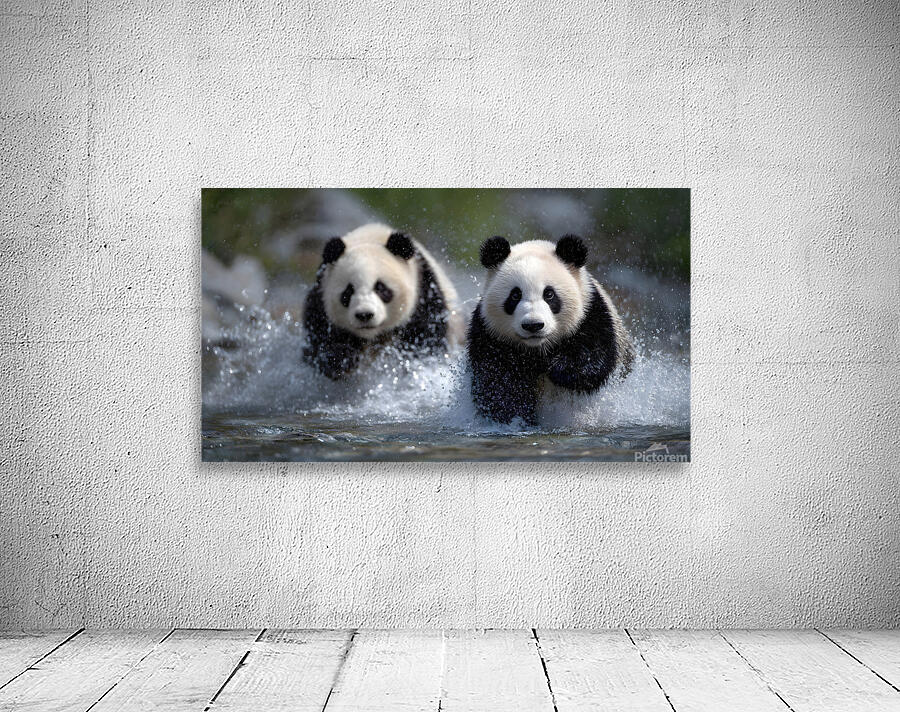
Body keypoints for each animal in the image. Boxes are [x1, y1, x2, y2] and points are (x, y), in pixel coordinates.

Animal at [303, 223, 464, 380]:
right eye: (348, 292)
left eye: (380, 288)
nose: (364, 315)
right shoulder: (320, 298)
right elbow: (321, 340)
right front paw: (341, 359)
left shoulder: (425, 290)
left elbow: (426, 337)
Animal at [468, 234, 635, 424]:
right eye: (515, 295)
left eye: (549, 294)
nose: (533, 325)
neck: (537, 348)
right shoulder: (491, 335)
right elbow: (497, 384)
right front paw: (517, 418)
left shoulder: (591, 313)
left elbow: (592, 359)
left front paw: (557, 368)